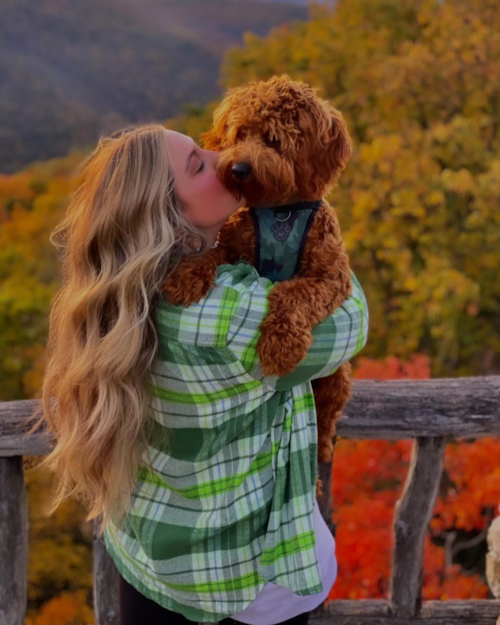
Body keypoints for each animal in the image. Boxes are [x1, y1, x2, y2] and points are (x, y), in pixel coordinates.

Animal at [162, 75, 354, 500]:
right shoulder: (235, 244)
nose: (238, 168)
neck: (280, 211)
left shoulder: (331, 275)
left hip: (338, 380)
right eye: (239, 134)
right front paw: (186, 274)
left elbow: (293, 293)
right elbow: (213, 254)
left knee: (326, 422)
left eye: (272, 139)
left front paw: (280, 344)